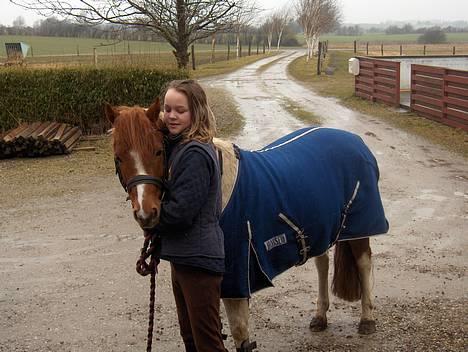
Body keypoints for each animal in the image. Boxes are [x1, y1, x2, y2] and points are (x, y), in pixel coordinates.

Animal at [105, 100, 388, 350]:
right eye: (118, 158)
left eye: (158, 151)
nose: (147, 213)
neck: (220, 188)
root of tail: (355, 140)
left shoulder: (236, 280)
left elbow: (240, 335)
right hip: (321, 227)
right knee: (322, 263)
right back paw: (320, 316)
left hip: (358, 228)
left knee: (363, 262)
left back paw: (367, 319)